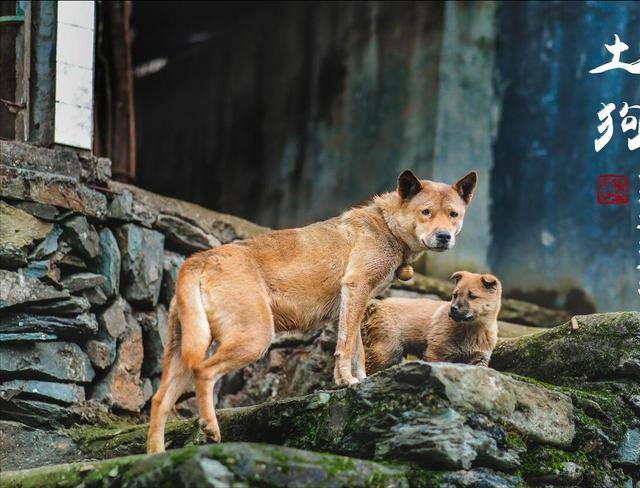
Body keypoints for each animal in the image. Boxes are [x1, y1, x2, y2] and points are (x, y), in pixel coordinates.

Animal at [145, 169, 476, 454]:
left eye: (453, 214)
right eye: (426, 212)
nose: (444, 236)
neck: (386, 225)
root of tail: (199, 259)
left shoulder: (355, 302)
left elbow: (356, 350)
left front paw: (359, 381)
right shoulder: (356, 287)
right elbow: (345, 347)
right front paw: (346, 382)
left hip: (183, 348)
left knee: (159, 401)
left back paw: (155, 455)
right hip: (253, 339)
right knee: (204, 372)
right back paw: (211, 429)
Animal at [362, 270, 502, 374]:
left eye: (472, 296)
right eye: (455, 295)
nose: (453, 309)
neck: (472, 329)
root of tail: (378, 305)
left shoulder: (479, 359)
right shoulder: (437, 354)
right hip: (386, 349)